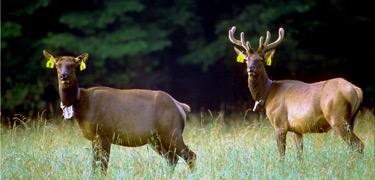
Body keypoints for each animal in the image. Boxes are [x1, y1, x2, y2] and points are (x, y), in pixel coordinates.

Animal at [43, 50, 197, 174]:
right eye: (57, 65)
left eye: (73, 65)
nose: (64, 76)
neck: (83, 106)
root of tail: (180, 106)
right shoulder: (94, 137)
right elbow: (94, 165)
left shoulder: (105, 133)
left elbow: (103, 166)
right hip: (156, 138)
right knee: (172, 159)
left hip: (172, 130)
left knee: (190, 156)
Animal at [228, 26, 366, 159]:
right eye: (246, 59)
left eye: (261, 59)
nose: (251, 69)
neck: (268, 95)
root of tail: (356, 90)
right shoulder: (297, 128)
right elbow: (299, 154)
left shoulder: (280, 124)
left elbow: (281, 154)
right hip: (351, 119)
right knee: (354, 146)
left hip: (337, 117)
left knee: (359, 144)